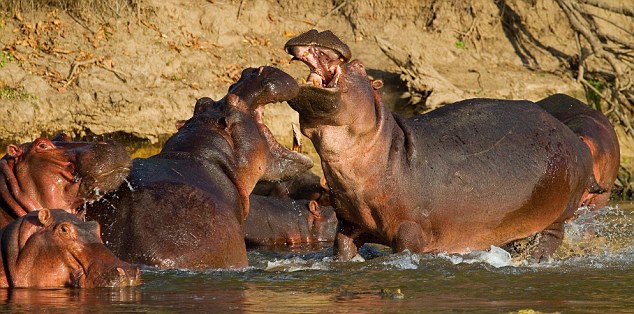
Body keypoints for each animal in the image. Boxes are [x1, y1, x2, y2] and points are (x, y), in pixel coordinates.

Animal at [284, 30, 600, 260]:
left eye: (361, 67)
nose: (319, 31)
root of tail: (576, 140)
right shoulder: (348, 225)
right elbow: (342, 250)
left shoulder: (410, 231)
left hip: (558, 214)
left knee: (550, 237)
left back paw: (535, 258)